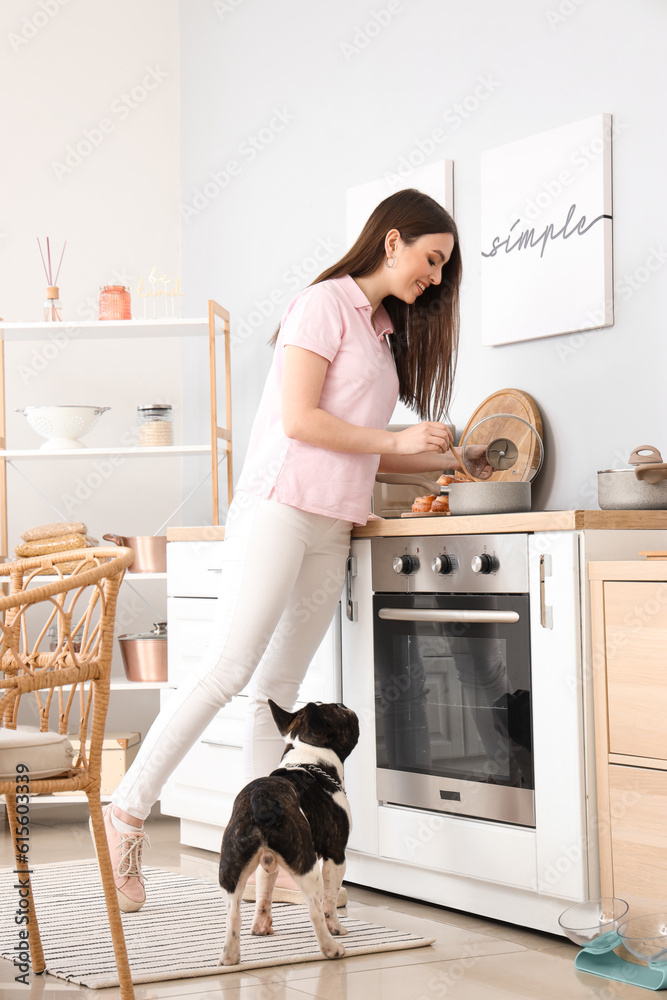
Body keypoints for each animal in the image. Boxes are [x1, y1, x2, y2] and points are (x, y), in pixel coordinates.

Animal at [219, 700, 360, 964]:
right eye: (340, 710)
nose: (347, 706)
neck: (308, 758)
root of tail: (261, 800)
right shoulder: (336, 855)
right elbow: (331, 900)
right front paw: (337, 928)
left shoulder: (267, 862)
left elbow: (264, 894)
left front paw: (262, 927)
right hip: (307, 866)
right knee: (315, 910)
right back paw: (331, 947)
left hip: (231, 866)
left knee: (233, 913)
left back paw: (230, 957)